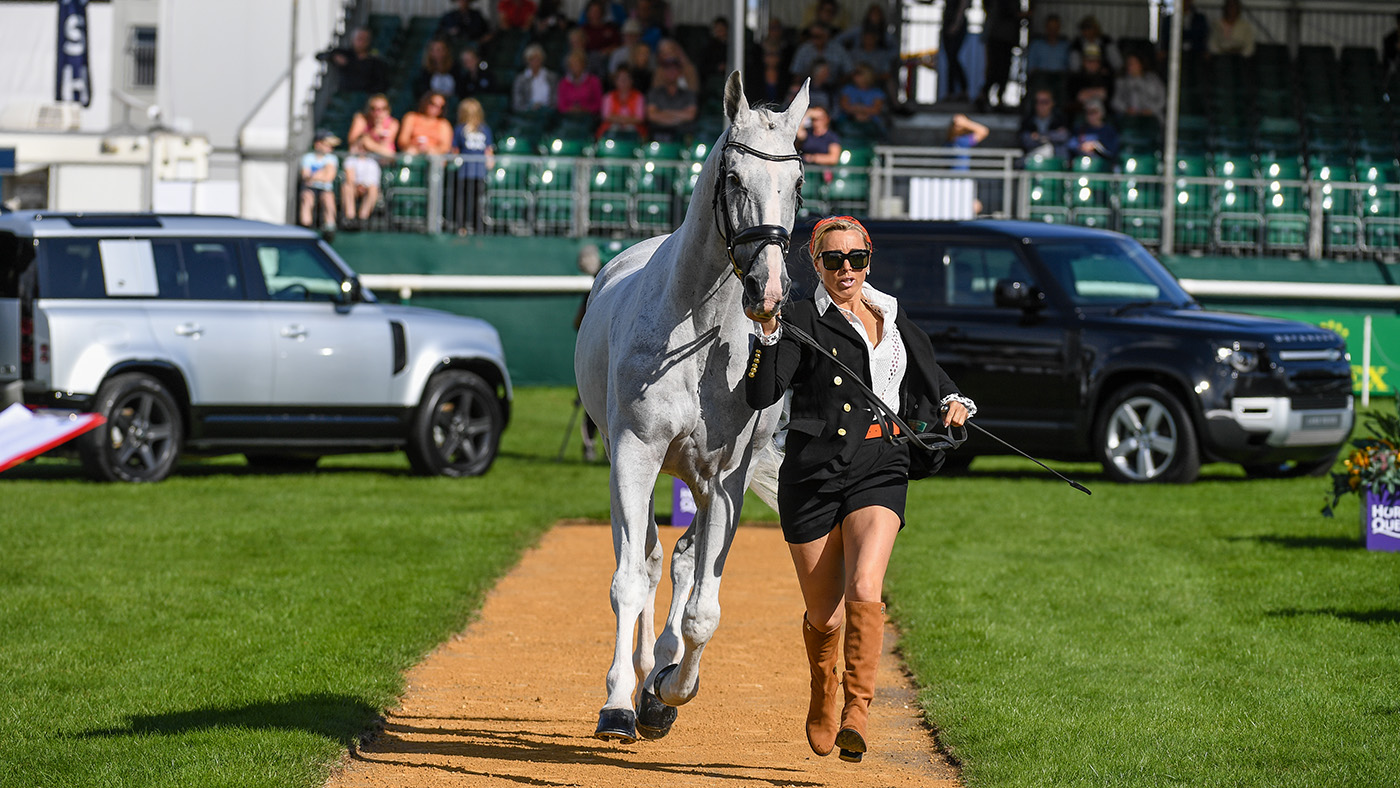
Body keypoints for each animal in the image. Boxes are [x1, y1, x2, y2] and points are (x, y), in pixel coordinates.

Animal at [574, 71, 809, 742]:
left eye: (797, 184)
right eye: (733, 179)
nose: (769, 291)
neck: (697, 334)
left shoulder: (724, 480)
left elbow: (705, 606)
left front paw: (671, 689)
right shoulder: (633, 456)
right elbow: (629, 580)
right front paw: (620, 702)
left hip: (702, 483)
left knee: (680, 563)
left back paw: (660, 675)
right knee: (651, 560)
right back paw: (636, 680)